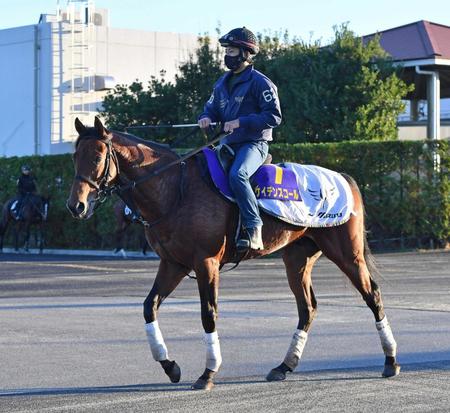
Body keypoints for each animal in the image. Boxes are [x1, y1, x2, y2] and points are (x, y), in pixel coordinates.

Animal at [67, 116, 400, 390]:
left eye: (97, 155)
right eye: (74, 156)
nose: (76, 205)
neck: (175, 188)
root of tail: (344, 178)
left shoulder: (206, 263)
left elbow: (208, 314)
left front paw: (208, 373)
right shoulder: (173, 264)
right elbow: (150, 307)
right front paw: (170, 366)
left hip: (347, 255)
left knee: (373, 295)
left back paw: (391, 361)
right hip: (297, 259)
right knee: (307, 308)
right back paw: (284, 366)